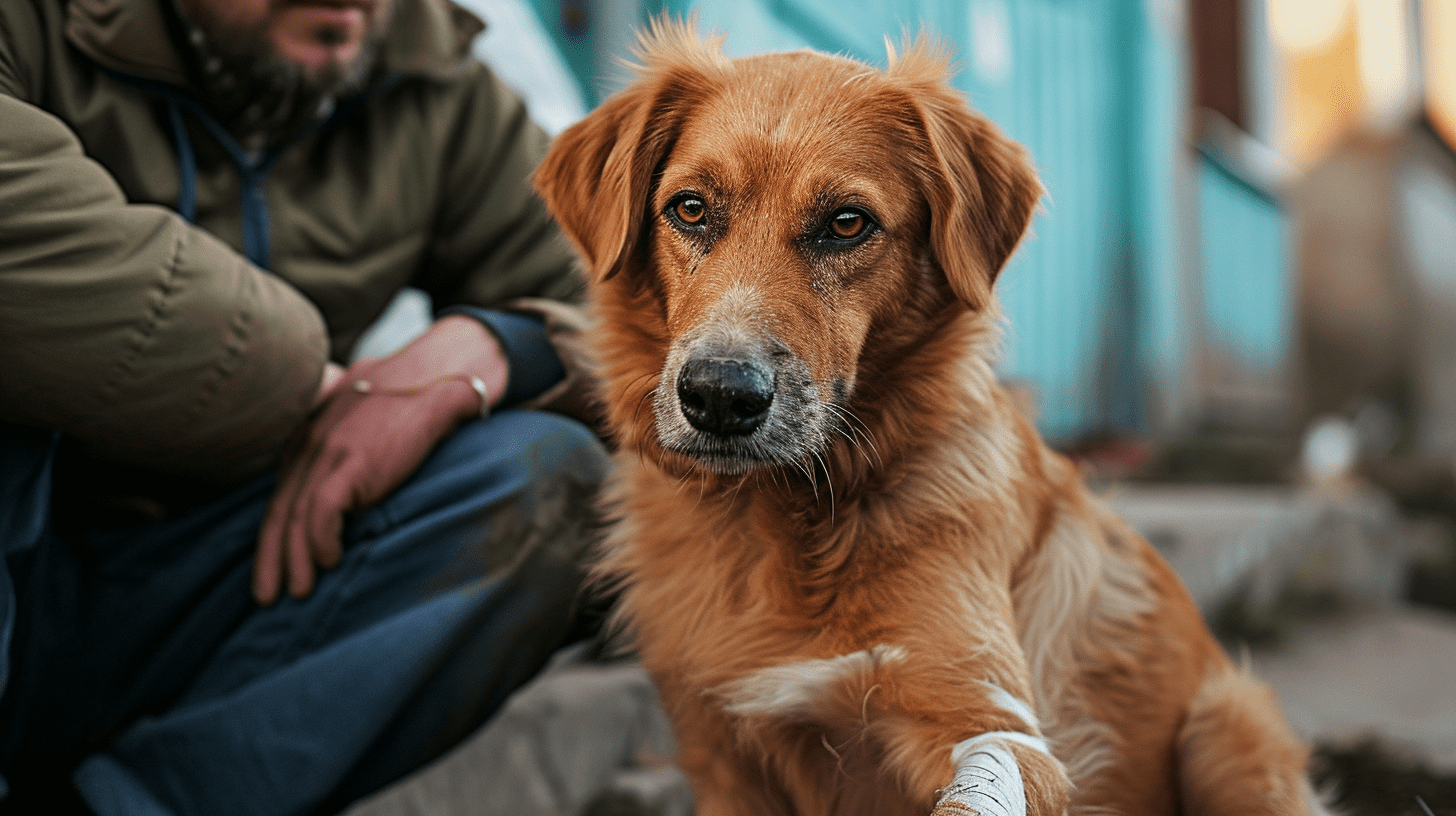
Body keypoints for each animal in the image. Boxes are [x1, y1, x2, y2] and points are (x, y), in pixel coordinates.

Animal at [535, 20, 1333, 816]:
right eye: (691, 208)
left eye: (846, 223)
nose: (720, 395)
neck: (785, 519)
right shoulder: (723, 761)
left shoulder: (992, 724)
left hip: (1227, 728)